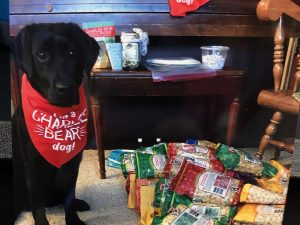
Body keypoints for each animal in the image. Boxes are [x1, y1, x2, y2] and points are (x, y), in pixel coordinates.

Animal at [11, 23, 99, 225]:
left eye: (72, 53)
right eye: (41, 55)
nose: (65, 88)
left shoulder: (72, 164)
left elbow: (69, 197)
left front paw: (73, 220)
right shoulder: (33, 168)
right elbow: (38, 208)